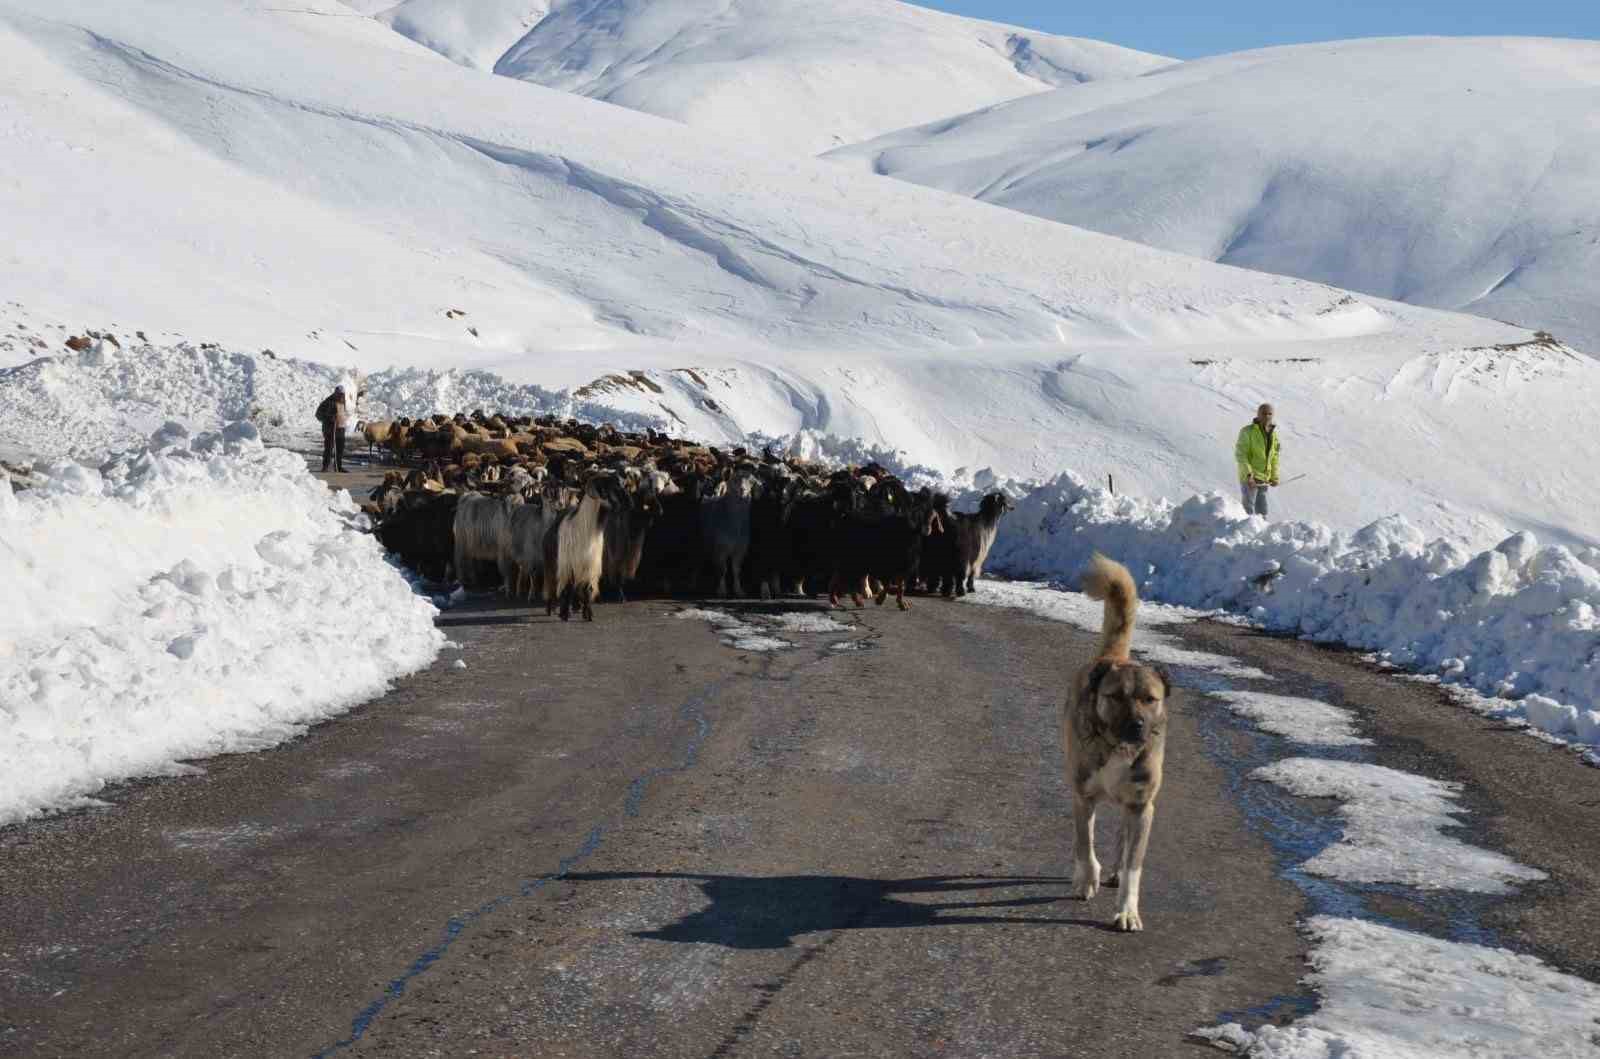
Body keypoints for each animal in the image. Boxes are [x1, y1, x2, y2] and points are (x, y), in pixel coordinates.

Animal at [1062, 550, 1177, 934]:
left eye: (1149, 699)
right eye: (1115, 697)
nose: (1136, 725)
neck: (1116, 747)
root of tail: (1113, 657)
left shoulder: (1142, 805)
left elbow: (1133, 866)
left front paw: (1127, 910)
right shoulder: (1083, 794)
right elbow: (1085, 843)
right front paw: (1086, 879)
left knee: (1123, 838)